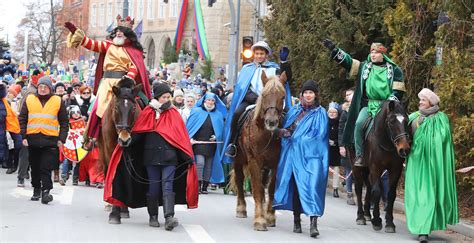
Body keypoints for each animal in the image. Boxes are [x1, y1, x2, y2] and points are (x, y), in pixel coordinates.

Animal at [98, 77, 142, 223]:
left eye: (133, 108)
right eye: (116, 107)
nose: (124, 140)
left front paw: (122, 209)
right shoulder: (110, 152)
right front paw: (114, 213)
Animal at [232, 70, 286, 232]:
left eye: (283, 96)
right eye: (264, 95)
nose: (271, 122)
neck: (267, 134)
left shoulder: (275, 163)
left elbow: (271, 189)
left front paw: (269, 217)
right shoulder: (254, 161)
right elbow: (257, 188)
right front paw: (260, 220)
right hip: (238, 159)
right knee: (240, 179)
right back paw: (241, 209)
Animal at [352, 99, 412, 233]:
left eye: (406, 120)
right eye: (392, 121)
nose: (404, 149)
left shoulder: (395, 170)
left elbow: (390, 194)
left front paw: (389, 223)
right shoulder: (376, 168)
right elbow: (377, 191)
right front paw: (377, 220)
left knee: (368, 187)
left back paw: (367, 214)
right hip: (357, 167)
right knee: (359, 189)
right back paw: (360, 216)